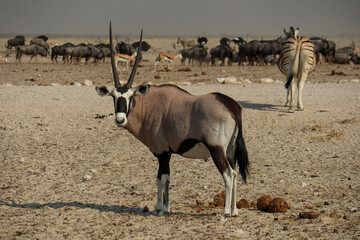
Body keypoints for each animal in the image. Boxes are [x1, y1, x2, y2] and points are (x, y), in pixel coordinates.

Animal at [94, 22, 249, 221]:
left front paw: (163, 209)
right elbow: (159, 178)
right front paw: (158, 208)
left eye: (130, 96)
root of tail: (231, 106)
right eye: (113, 96)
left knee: (228, 175)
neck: (149, 107)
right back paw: (235, 210)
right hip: (230, 150)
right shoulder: (164, 154)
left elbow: (163, 178)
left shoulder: (163, 153)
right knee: (236, 173)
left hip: (217, 150)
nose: (120, 119)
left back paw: (225, 213)